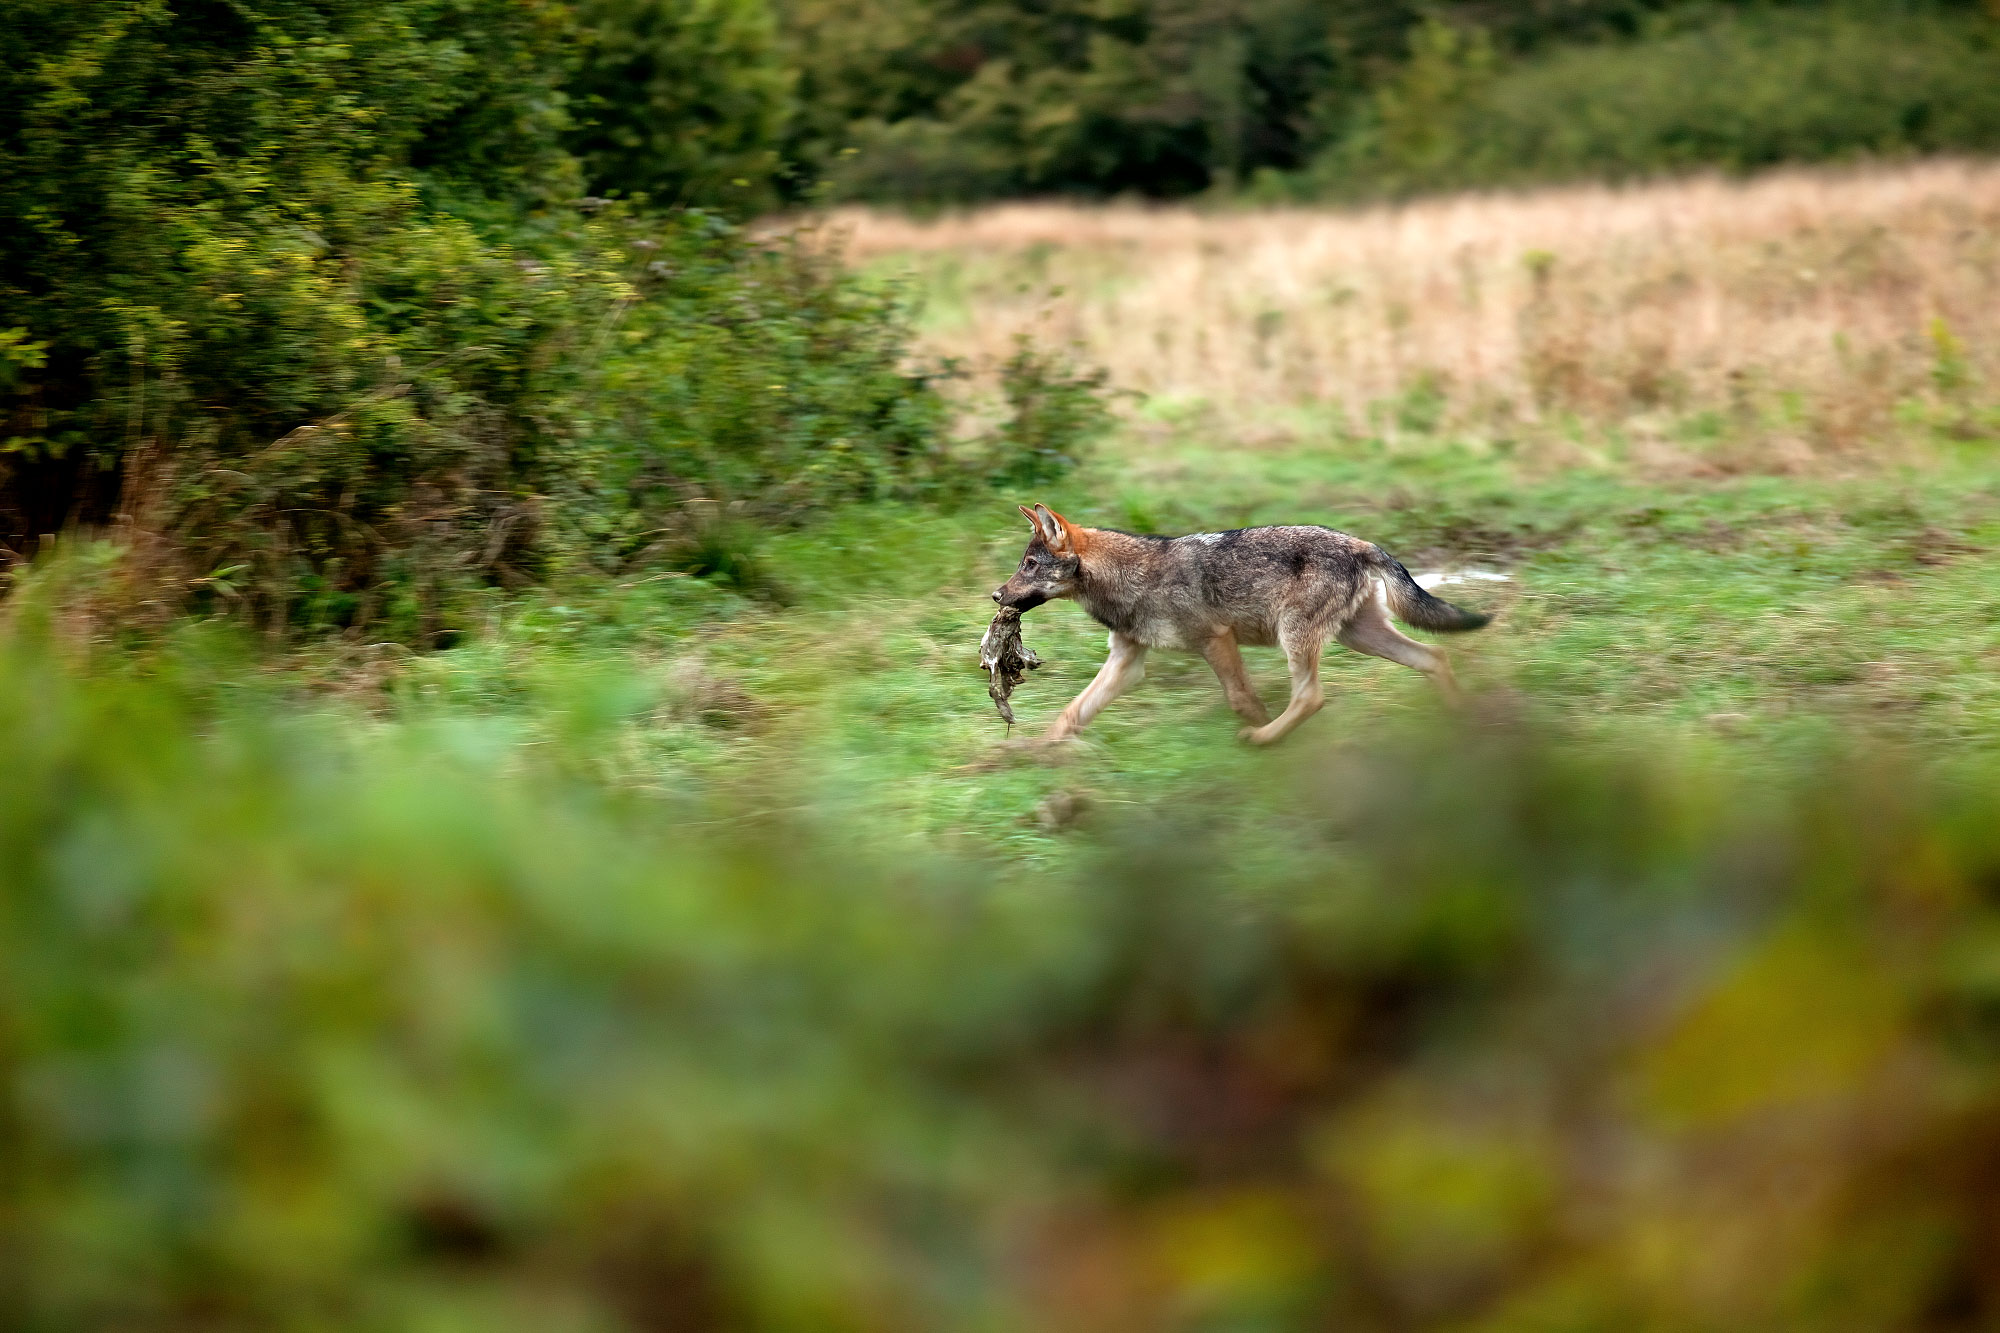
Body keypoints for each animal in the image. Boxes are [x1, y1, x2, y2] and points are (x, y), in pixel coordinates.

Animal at [992, 500, 1496, 740]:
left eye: (1030, 566)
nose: (996, 595)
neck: (1129, 578)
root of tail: (1361, 543)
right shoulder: (1127, 662)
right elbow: (1071, 714)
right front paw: (1033, 755)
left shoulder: (1216, 640)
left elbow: (1240, 699)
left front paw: (1263, 731)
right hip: (1361, 638)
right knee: (1435, 656)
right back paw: (1462, 722)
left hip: (1297, 638)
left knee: (1310, 697)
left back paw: (1263, 739)